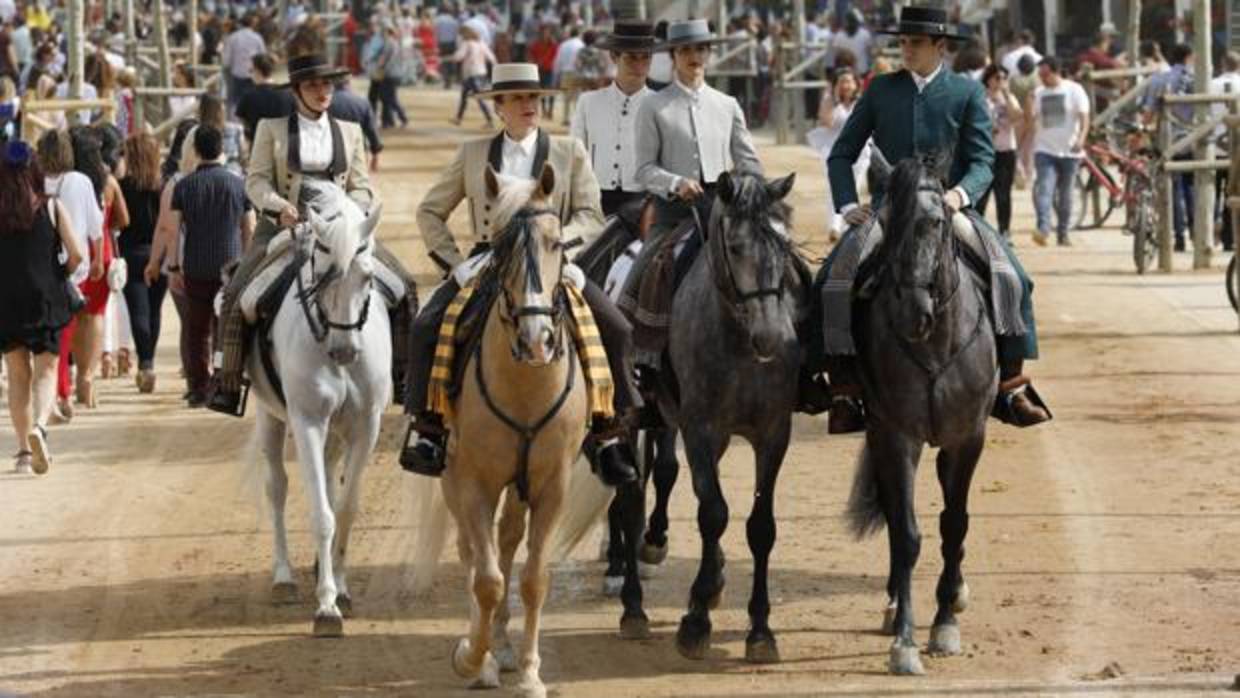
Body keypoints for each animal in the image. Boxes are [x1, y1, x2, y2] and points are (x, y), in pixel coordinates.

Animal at [244, 182, 389, 639]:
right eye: (321, 274)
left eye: (367, 277)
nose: (344, 352)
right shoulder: (307, 421)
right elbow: (322, 513)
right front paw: (326, 607)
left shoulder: (366, 425)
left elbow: (345, 507)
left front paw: (340, 587)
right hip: (271, 417)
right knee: (277, 487)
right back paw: (285, 577)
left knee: (327, 475)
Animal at [411, 164, 590, 698]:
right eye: (501, 247)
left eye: (556, 243)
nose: (537, 340)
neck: (525, 383)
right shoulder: (473, 481)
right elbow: (486, 579)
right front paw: (472, 658)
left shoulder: (552, 485)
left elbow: (532, 578)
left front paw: (530, 672)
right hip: (454, 478)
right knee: (474, 554)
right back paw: (487, 650)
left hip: (519, 483)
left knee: (508, 541)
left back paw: (506, 646)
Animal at [848, 154, 1001, 679]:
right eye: (887, 224)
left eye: (935, 222)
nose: (914, 312)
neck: (935, 345)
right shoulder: (896, 435)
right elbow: (907, 534)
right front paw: (905, 640)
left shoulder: (967, 436)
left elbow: (954, 523)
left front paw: (944, 625)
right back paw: (896, 602)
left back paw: (954, 595)